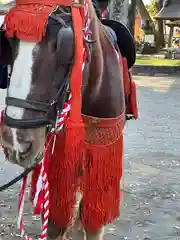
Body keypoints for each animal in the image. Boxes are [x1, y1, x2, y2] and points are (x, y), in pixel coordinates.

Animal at [0, 0, 135, 239]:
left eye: (63, 44)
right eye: (9, 42)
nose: (15, 141)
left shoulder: (103, 150)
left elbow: (94, 220)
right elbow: (56, 218)